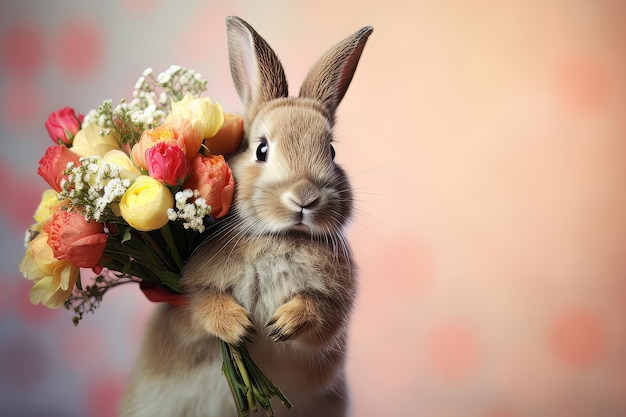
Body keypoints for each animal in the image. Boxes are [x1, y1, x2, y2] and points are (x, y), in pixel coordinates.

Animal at [122, 14, 370, 414]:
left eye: (331, 151)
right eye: (262, 149)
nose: (304, 198)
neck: (280, 238)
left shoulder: (335, 309)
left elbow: (319, 315)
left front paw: (282, 325)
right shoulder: (187, 299)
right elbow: (201, 308)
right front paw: (240, 327)